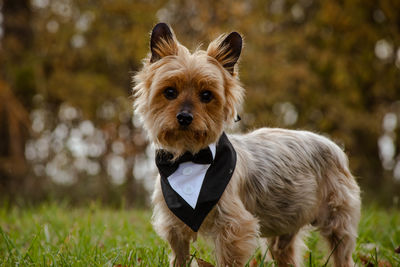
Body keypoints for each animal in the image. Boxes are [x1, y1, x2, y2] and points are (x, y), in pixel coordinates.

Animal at [133, 23, 360, 267]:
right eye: (169, 92)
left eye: (206, 95)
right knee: (284, 249)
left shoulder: (234, 226)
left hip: (337, 217)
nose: (184, 117)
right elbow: (180, 256)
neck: (189, 157)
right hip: (287, 220)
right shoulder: (174, 225)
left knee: (342, 251)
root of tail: (333, 145)